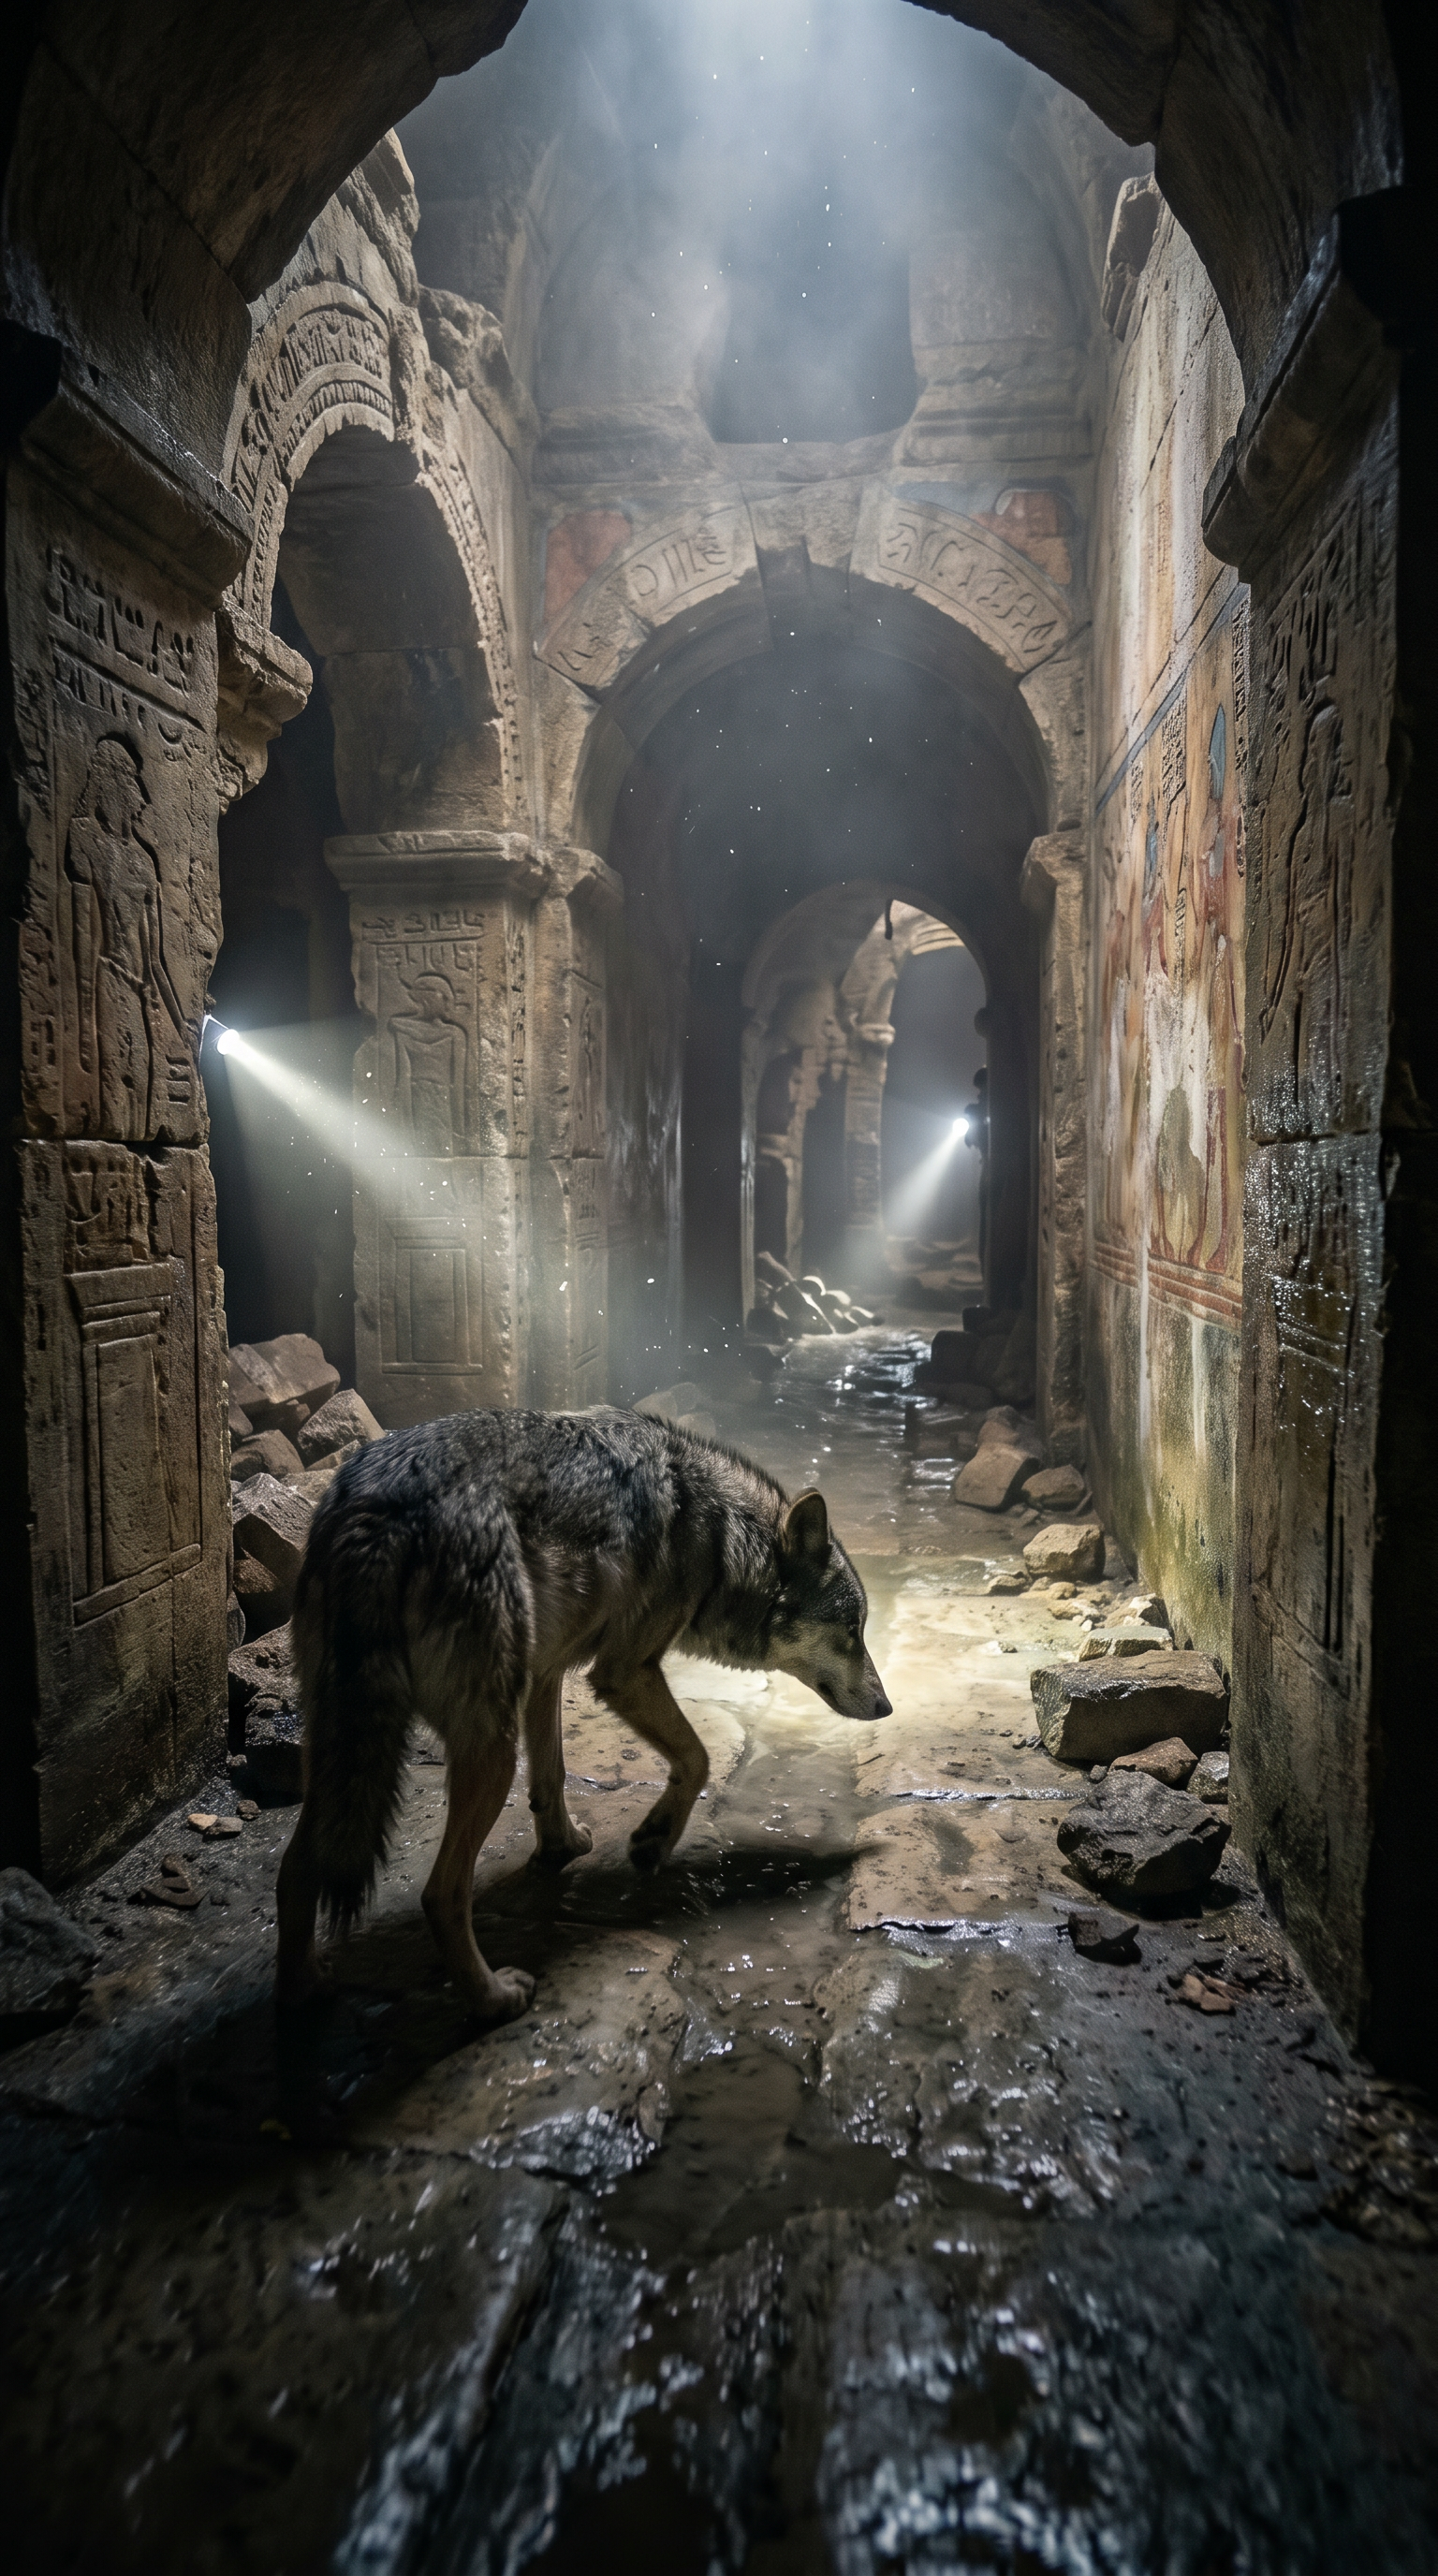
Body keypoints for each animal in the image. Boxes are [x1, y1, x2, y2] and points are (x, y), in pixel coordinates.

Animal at [276, 1407, 891, 2020]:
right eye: (852, 1631)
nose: (887, 1706)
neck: (719, 1537)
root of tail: (379, 1509)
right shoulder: (625, 1672)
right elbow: (697, 1758)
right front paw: (653, 1840)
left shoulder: (546, 1674)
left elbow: (552, 1777)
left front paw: (562, 1848)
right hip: (490, 1751)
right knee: (440, 1895)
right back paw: (495, 1998)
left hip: (347, 1756)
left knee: (293, 1870)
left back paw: (306, 1990)